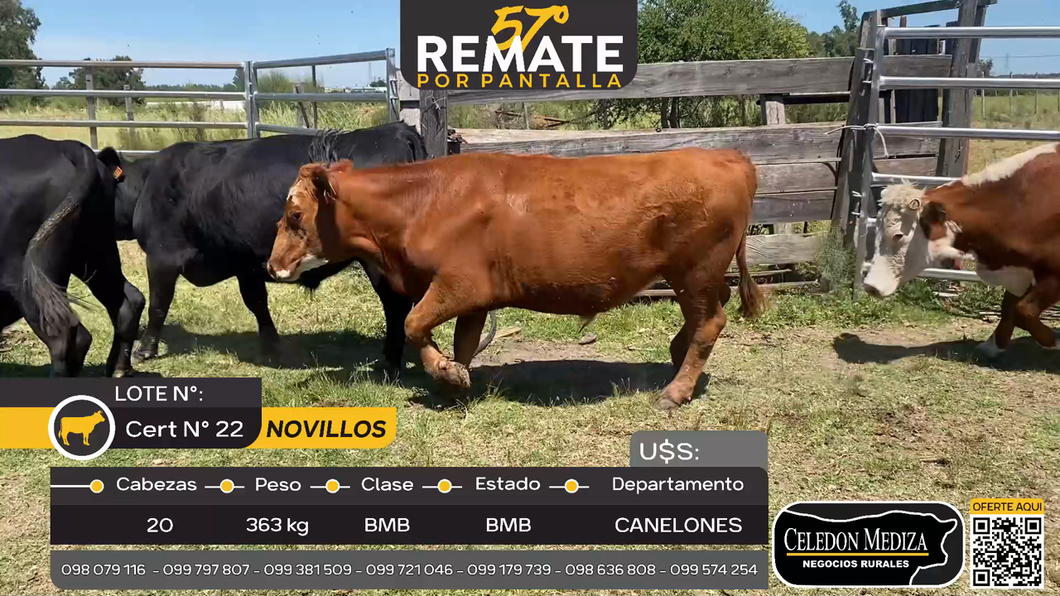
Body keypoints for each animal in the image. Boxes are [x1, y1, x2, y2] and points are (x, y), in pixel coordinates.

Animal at [0, 135, 144, 377]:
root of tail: (63, 145)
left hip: (27, 278)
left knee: (66, 333)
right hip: (97, 252)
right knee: (129, 300)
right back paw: (118, 369)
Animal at [115, 124, 495, 376]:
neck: (149, 184)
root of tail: (394, 130)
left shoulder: (162, 257)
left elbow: (159, 304)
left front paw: (145, 349)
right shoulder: (246, 262)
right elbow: (256, 302)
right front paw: (271, 346)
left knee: (396, 305)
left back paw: (388, 360)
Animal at [266, 148, 765, 409]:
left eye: (295, 215)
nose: (271, 266)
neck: (424, 201)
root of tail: (726, 154)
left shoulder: (455, 284)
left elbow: (413, 324)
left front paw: (445, 373)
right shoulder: (476, 298)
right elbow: (463, 342)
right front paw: (454, 381)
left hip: (695, 270)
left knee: (710, 322)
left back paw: (676, 390)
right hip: (696, 276)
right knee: (705, 316)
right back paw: (678, 361)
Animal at [863, 142, 1060, 358]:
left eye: (899, 235)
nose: (870, 286)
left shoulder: (1052, 276)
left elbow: (1024, 310)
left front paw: (1054, 340)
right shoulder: (1018, 269)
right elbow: (1009, 306)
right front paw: (994, 345)